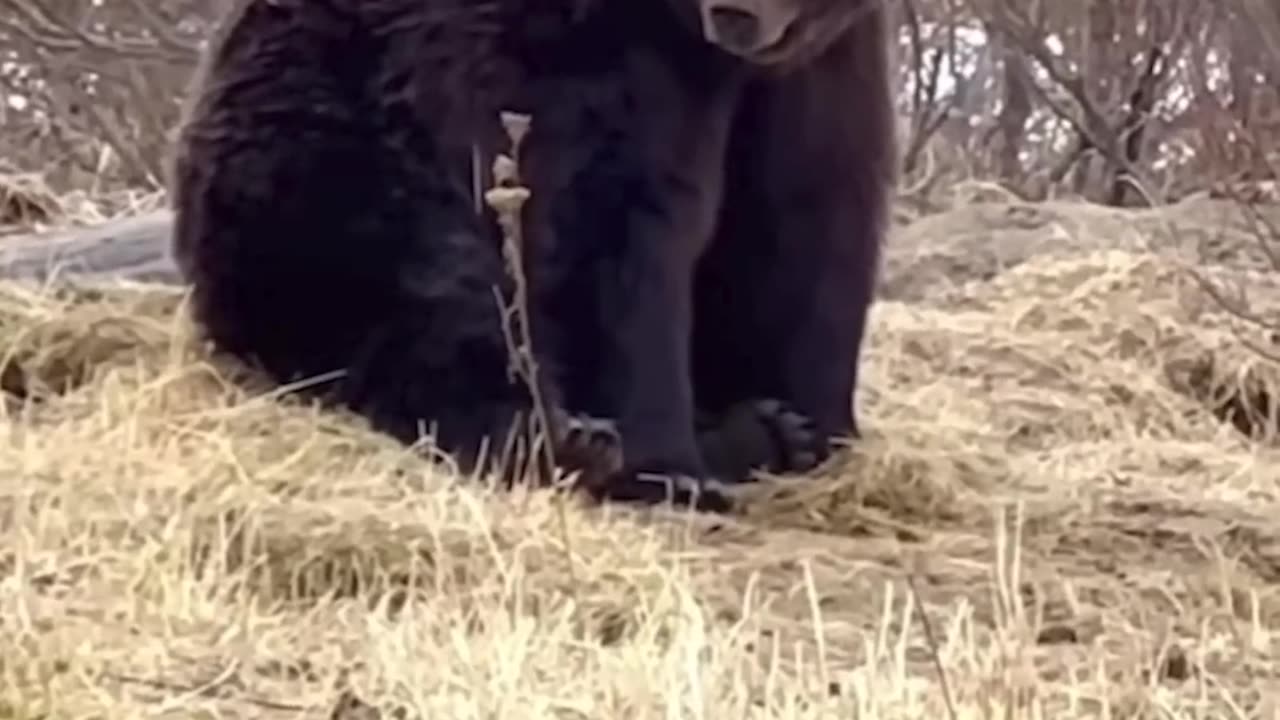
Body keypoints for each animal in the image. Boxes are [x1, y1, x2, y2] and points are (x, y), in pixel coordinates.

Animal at [167, 0, 890, 509]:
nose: (737, 13)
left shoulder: (818, 70)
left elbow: (809, 218)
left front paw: (811, 420)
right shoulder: (580, 56)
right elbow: (615, 219)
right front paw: (670, 467)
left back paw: (766, 431)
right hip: (325, 147)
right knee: (434, 294)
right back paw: (566, 436)